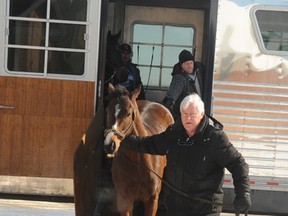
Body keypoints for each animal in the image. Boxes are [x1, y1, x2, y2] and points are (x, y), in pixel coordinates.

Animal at [104, 84, 173, 216]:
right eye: (108, 110)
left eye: (128, 114)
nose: (109, 144)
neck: (139, 162)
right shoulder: (124, 199)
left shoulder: (152, 200)